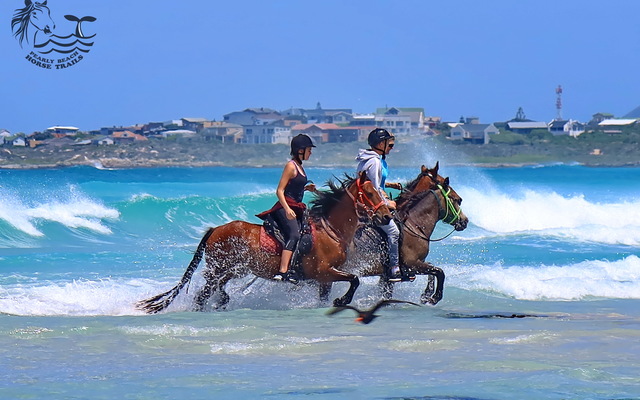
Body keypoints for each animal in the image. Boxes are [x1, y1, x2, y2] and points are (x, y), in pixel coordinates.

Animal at [137, 173, 393, 313]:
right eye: (370, 193)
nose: (386, 216)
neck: (331, 230)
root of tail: (214, 230)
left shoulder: (325, 278)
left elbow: (337, 289)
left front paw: (336, 301)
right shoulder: (323, 271)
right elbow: (355, 279)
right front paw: (342, 300)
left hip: (234, 270)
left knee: (216, 289)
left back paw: (222, 301)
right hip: (218, 268)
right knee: (203, 294)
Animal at [335, 163, 468, 305]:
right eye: (457, 200)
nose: (465, 221)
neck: (414, 224)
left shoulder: (393, 273)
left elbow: (431, 270)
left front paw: (426, 294)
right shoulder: (411, 264)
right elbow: (439, 271)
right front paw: (434, 297)